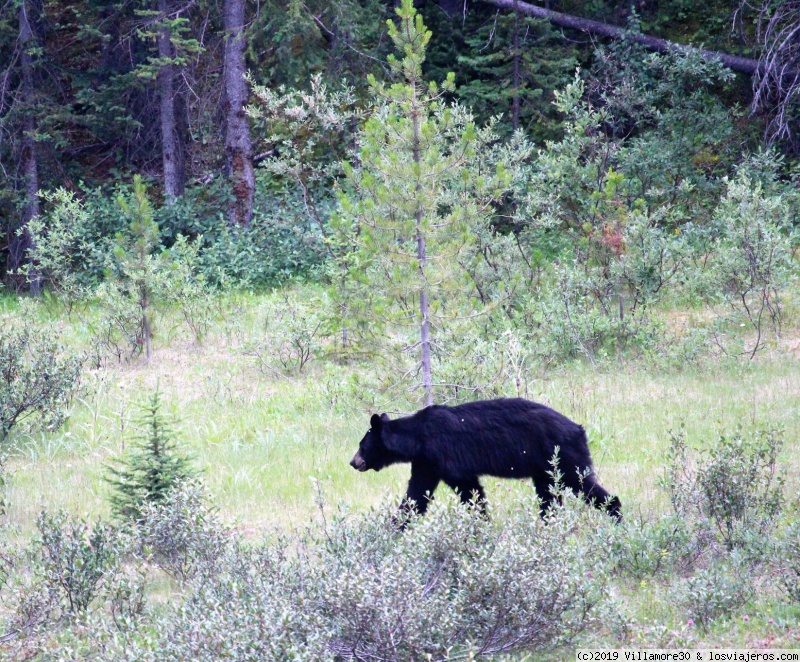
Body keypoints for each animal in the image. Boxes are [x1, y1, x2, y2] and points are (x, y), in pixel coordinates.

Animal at [348, 400, 620, 524]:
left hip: (563, 455)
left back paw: (616, 516)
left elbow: (469, 490)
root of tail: (579, 429)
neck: (417, 437)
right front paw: (398, 525)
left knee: (583, 484)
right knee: (549, 496)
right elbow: (417, 494)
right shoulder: (427, 462)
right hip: (545, 468)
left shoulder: (445, 455)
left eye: (362, 445)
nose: (353, 462)